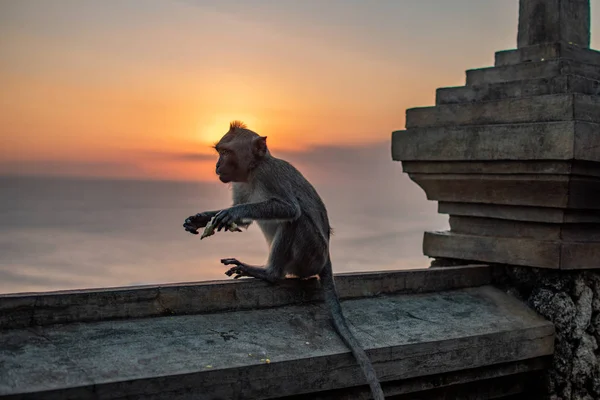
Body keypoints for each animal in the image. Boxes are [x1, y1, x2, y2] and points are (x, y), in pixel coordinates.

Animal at [183, 120, 384, 398]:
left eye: (225, 153)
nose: (217, 166)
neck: (253, 172)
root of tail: (327, 258)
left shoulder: (269, 176)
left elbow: (289, 209)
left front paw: (230, 213)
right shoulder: (240, 184)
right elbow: (243, 222)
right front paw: (201, 218)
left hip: (311, 254)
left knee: (294, 221)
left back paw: (268, 273)